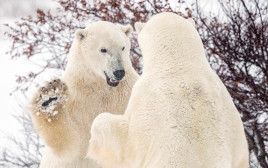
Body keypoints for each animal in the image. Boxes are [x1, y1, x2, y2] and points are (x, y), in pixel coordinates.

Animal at [29, 21, 138, 168]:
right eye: (103, 49)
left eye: (123, 47)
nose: (119, 72)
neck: (101, 87)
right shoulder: (75, 98)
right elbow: (66, 143)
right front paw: (49, 98)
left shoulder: (129, 92)